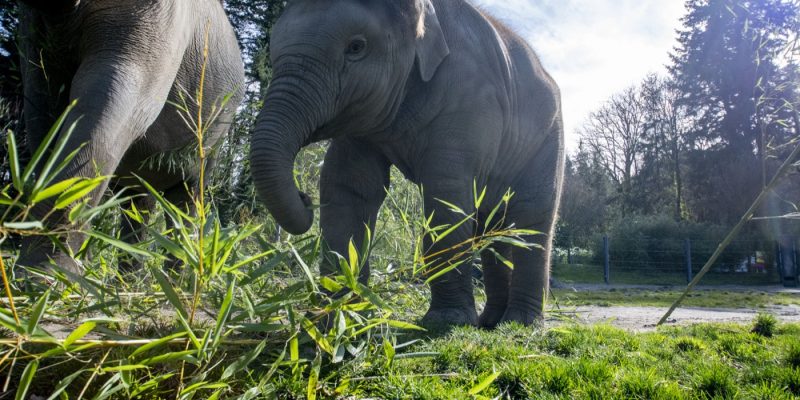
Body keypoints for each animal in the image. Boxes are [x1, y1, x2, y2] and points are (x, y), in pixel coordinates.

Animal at [15, 0, 245, 274]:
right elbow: (43, 112)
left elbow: (110, 100)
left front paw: (45, 277)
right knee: (139, 203)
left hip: (213, 141)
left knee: (186, 200)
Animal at [250, 0, 564, 329]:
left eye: (356, 47)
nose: (304, 196)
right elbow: (348, 186)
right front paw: (335, 318)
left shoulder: (469, 99)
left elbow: (445, 192)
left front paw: (446, 322)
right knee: (494, 228)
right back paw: (492, 322)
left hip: (548, 140)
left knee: (532, 219)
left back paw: (521, 323)